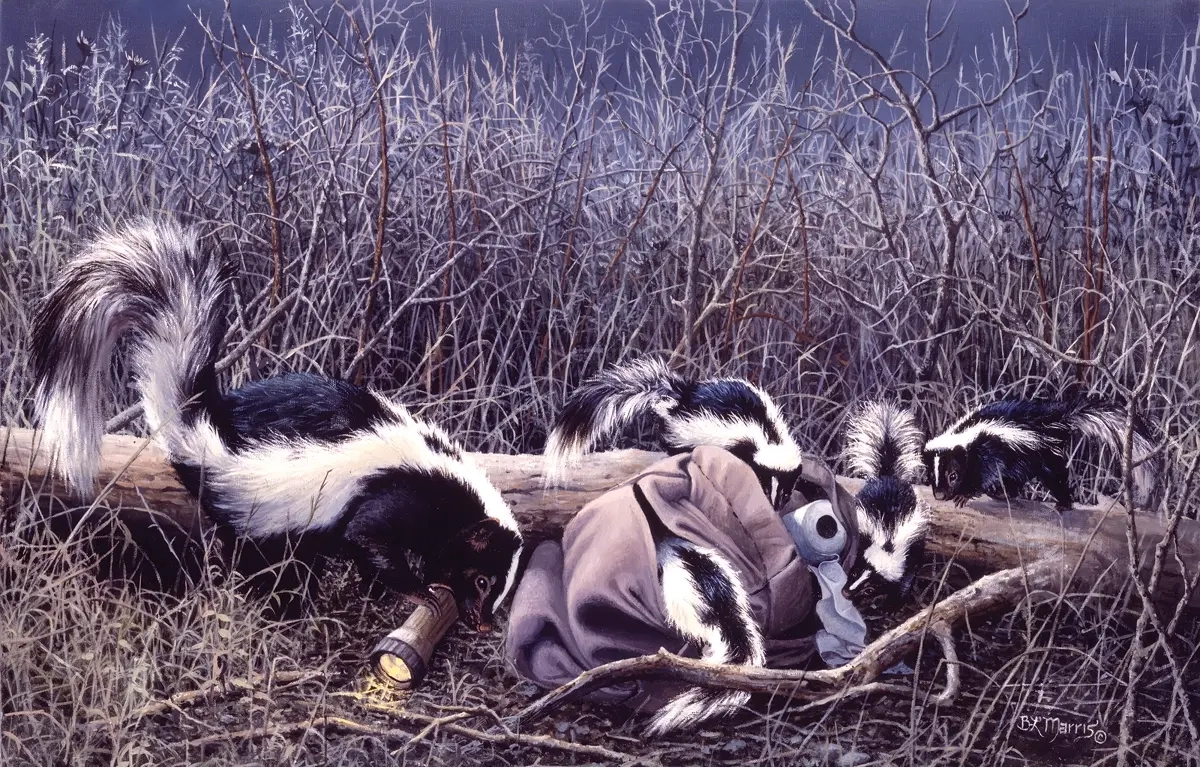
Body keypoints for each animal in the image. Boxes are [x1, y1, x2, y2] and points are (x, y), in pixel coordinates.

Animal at [30, 217, 520, 628]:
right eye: (482, 580)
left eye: (498, 586)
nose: (484, 624)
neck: (444, 476)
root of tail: (201, 426)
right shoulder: (392, 493)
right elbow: (368, 537)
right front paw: (418, 592)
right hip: (263, 510)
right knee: (266, 566)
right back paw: (280, 612)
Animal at [547, 357, 806, 508]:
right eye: (765, 487)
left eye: (785, 493)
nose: (774, 506)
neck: (768, 436)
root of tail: (680, 397)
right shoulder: (740, 445)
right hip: (684, 431)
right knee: (674, 445)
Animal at [840, 398, 931, 602]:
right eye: (855, 572)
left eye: (870, 589)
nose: (846, 592)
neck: (888, 544)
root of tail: (888, 476)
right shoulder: (863, 536)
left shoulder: (910, 552)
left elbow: (905, 580)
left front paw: (893, 602)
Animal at [916, 396, 1161, 508]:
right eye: (930, 475)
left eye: (953, 475)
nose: (939, 495)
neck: (965, 434)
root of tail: (1056, 419)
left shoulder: (989, 449)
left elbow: (984, 474)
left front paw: (964, 494)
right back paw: (1003, 494)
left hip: (1043, 453)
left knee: (1055, 476)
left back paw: (1064, 503)